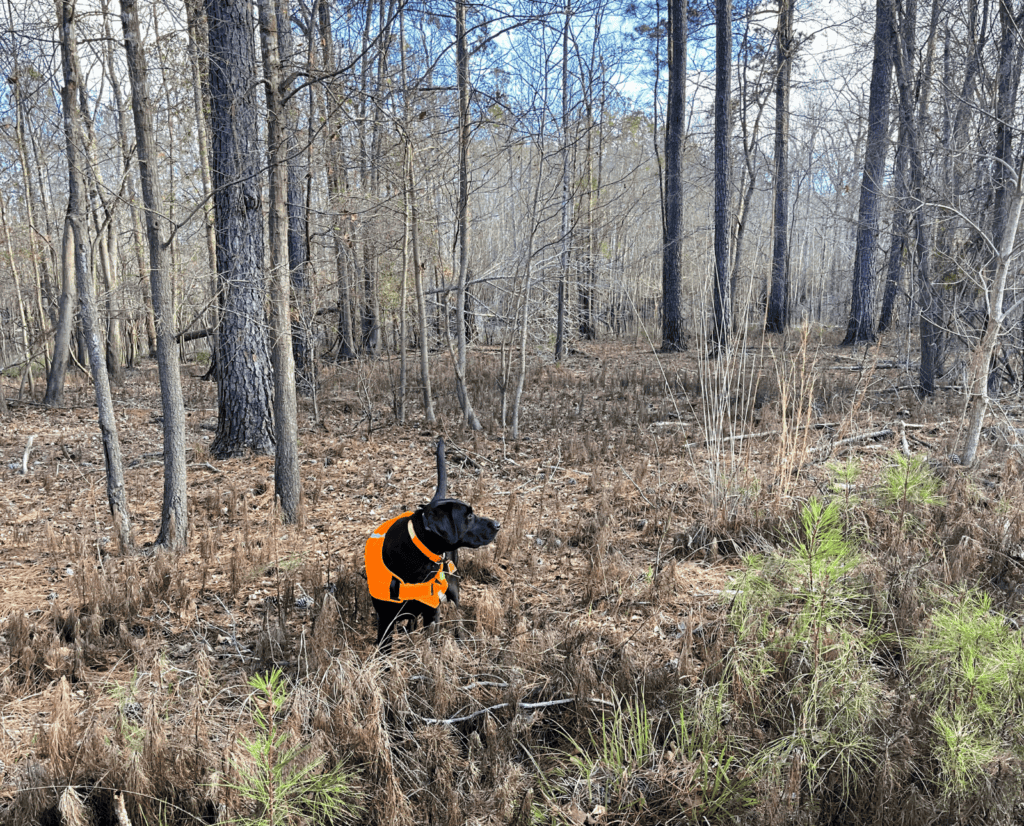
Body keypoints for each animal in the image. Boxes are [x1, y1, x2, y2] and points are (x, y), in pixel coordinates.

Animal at [364, 440, 499, 650]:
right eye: (469, 516)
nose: (497, 525)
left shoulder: (432, 612)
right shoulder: (386, 619)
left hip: (452, 585)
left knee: (457, 615)